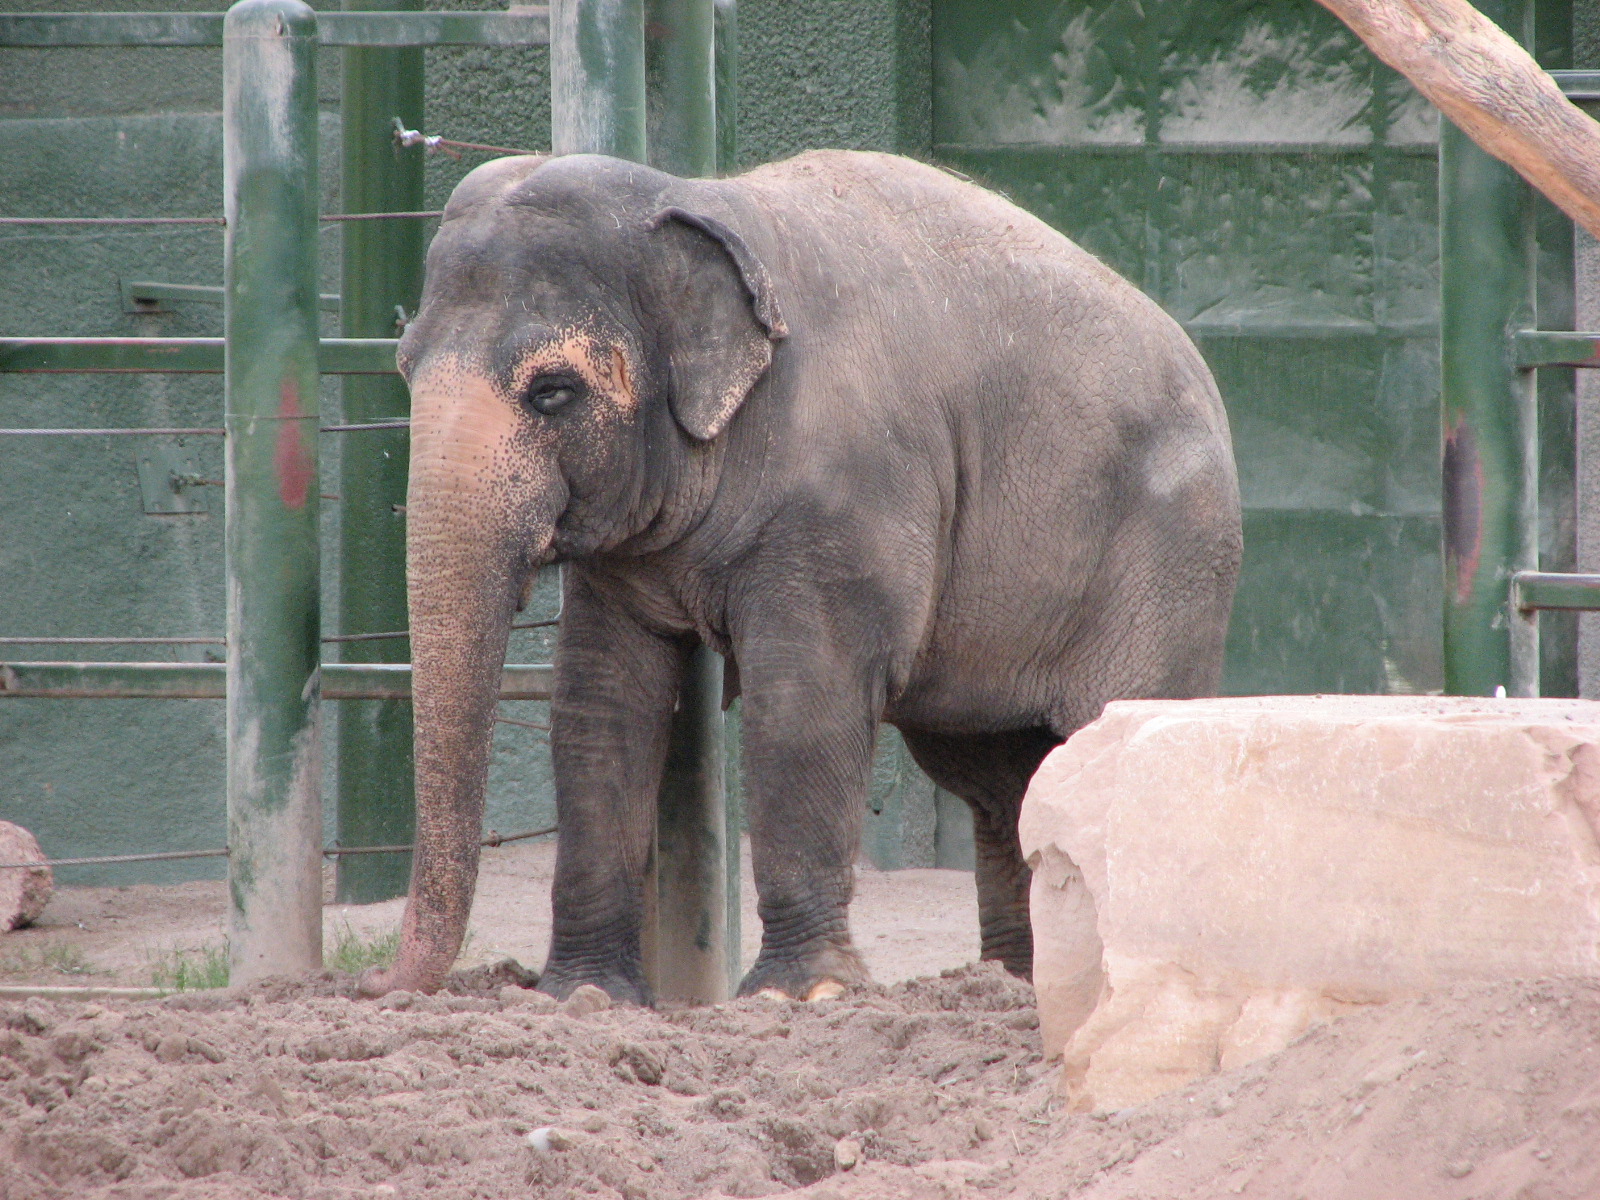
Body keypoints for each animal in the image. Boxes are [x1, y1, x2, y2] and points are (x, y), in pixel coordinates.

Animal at [359, 148, 1242, 1005]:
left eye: (552, 392)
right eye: (402, 368)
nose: (372, 983)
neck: (697, 197)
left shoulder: (848, 496)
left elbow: (803, 698)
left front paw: (799, 995)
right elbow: (600, 703)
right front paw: (580, 997)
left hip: (1168, 566)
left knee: (1107, 744)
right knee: (997, 779)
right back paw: (1011, 985)